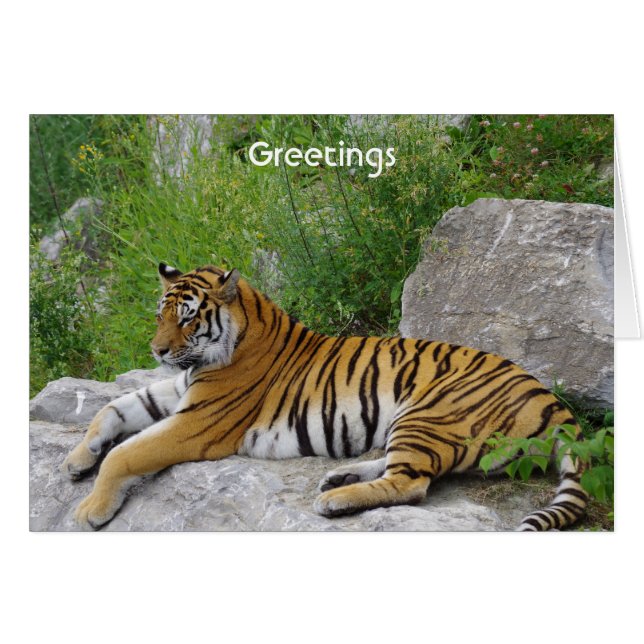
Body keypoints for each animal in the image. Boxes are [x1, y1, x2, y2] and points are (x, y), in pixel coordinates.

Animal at [62, 262, 588, 531]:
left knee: (412, 483)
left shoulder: (197, 423)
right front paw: (76, 460)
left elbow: (127, 454)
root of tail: (552, 402)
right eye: (161, 315)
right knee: (403, 469)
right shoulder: (176, 390)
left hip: (428, 411)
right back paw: (339, 477)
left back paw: (335, 501)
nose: (158, 350)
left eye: (189, 318)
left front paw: (91, 509)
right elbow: (112, 409)